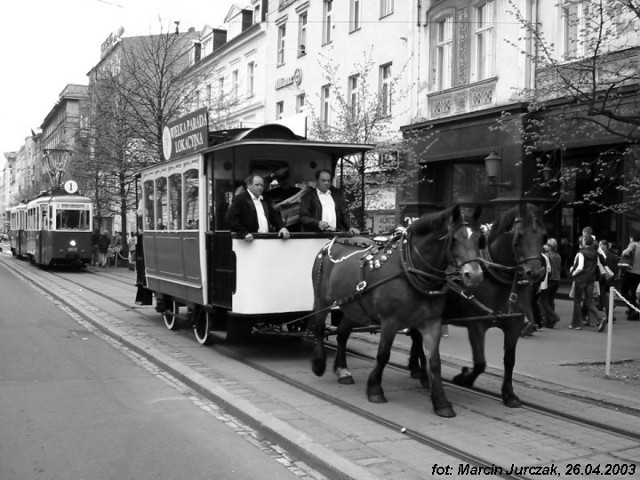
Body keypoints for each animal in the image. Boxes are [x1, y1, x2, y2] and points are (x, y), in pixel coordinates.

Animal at [308, 204, 482, 418]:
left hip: (354, 307)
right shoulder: (391, 321)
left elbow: (434, 362)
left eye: (479, 238)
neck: (410, 269)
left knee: (342, 334)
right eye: (455, 238)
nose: (474, 275)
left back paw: (343, 370)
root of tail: (329, 244)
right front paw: (375, 390)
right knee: (318, 328)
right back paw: (319, 364)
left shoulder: (432, 323)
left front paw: (441, 402)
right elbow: (383, 354)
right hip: (322, 299)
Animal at [408, 201, 548, 406]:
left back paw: (416, 369)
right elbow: (480, 362)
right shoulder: (476, 324)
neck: (497, 278)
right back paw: (423, 374)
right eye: (520, 235)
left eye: (543, 236)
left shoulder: (514, 324)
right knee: (418, 340)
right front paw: (464, 378)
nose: (536, 272)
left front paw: (509, 394)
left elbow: (510, 359)